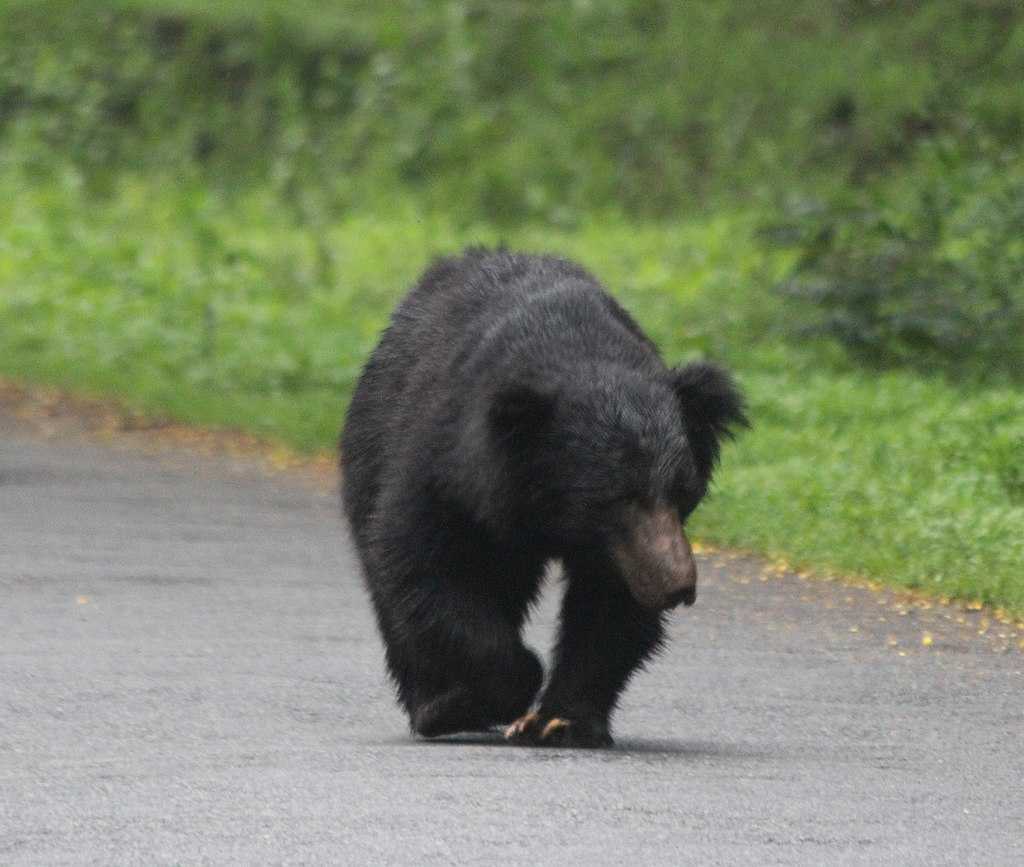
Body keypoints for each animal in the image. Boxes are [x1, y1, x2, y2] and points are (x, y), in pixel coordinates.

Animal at [340, 248, 747, 747]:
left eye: (682, 492)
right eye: (616, 497)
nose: (677, 585)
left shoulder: (621, 549)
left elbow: (608, 609)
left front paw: (563, 720)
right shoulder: (446, 471)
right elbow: (428, 567)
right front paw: (479, 699)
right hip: (372, 445)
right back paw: (431, 706)